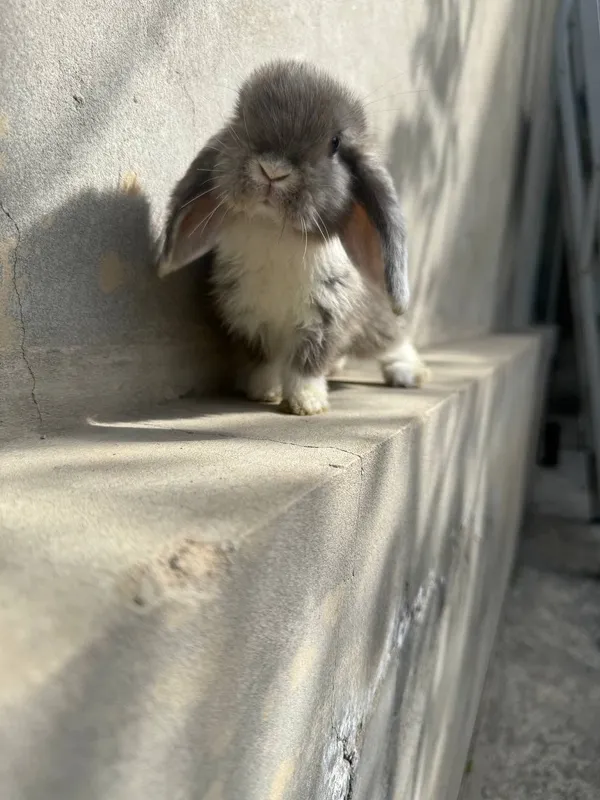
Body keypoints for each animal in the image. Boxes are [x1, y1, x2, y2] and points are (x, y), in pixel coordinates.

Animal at [157, 60, 430, 415]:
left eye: (335, 143)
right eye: (241, 118)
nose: (273, 170)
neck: (276, 230)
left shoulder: (326, 318)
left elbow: (308, 362)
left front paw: (306, 403)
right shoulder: (249, 318)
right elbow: (265, 360)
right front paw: (263, 391)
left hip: (376, 318)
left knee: (392, 337)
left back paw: (408, 373)